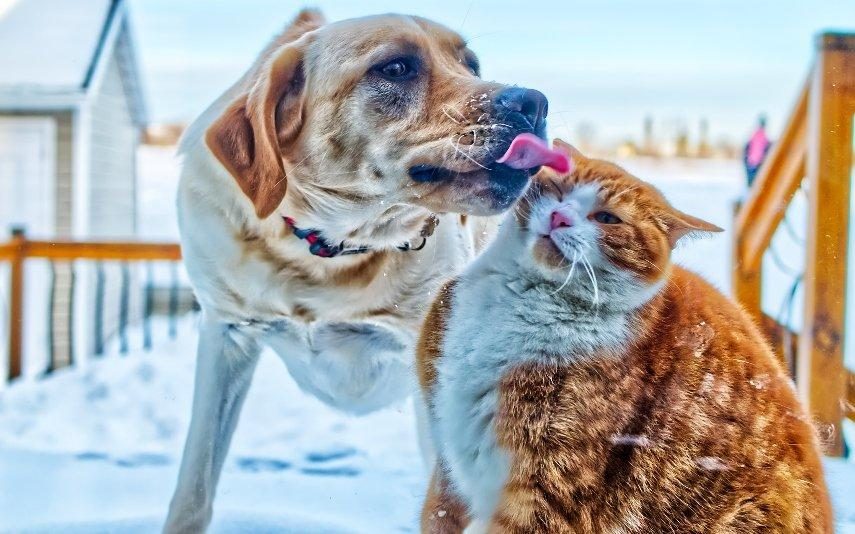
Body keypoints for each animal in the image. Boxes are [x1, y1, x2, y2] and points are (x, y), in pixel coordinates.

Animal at [167, 9, 560, 534]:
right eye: (395, 68)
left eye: (471, 64)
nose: (534, 102)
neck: (330, 253)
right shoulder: (226, 335)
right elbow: (194, 488)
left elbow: (444, 507)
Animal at [418, 142, 832, 534]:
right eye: (558, 188)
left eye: (607, 218)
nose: (559, 216)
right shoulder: (447, 469)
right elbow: (438, 512)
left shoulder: (547, 491)